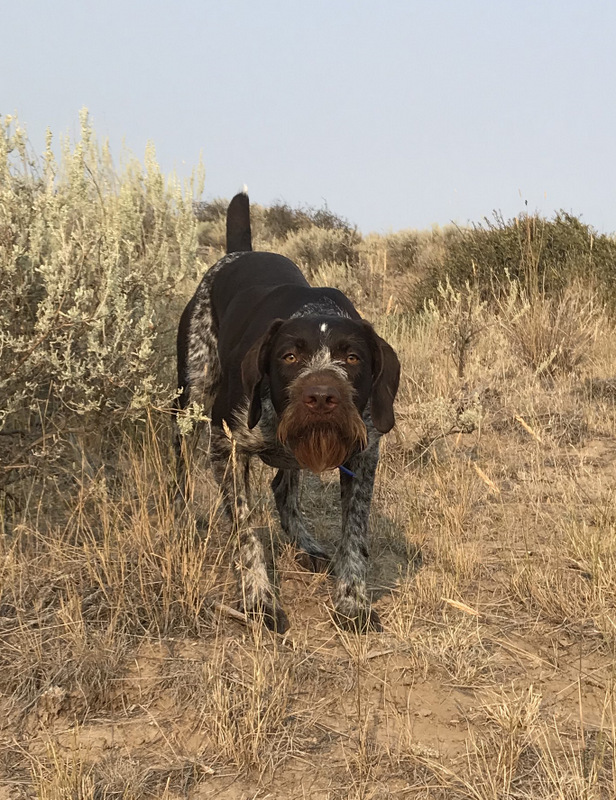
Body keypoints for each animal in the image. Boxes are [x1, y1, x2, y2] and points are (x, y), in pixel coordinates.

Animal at [176, 191, 402, 636]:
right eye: (289, 356)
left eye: (352, 358)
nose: (321, 397)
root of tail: (238, 253)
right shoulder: (226, 447)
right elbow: (246, 533)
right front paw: (258, 598)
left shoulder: (363, 454)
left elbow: (354, 532)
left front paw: (352, 601)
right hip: (190, 396)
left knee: (283, 487)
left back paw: (306, 544)